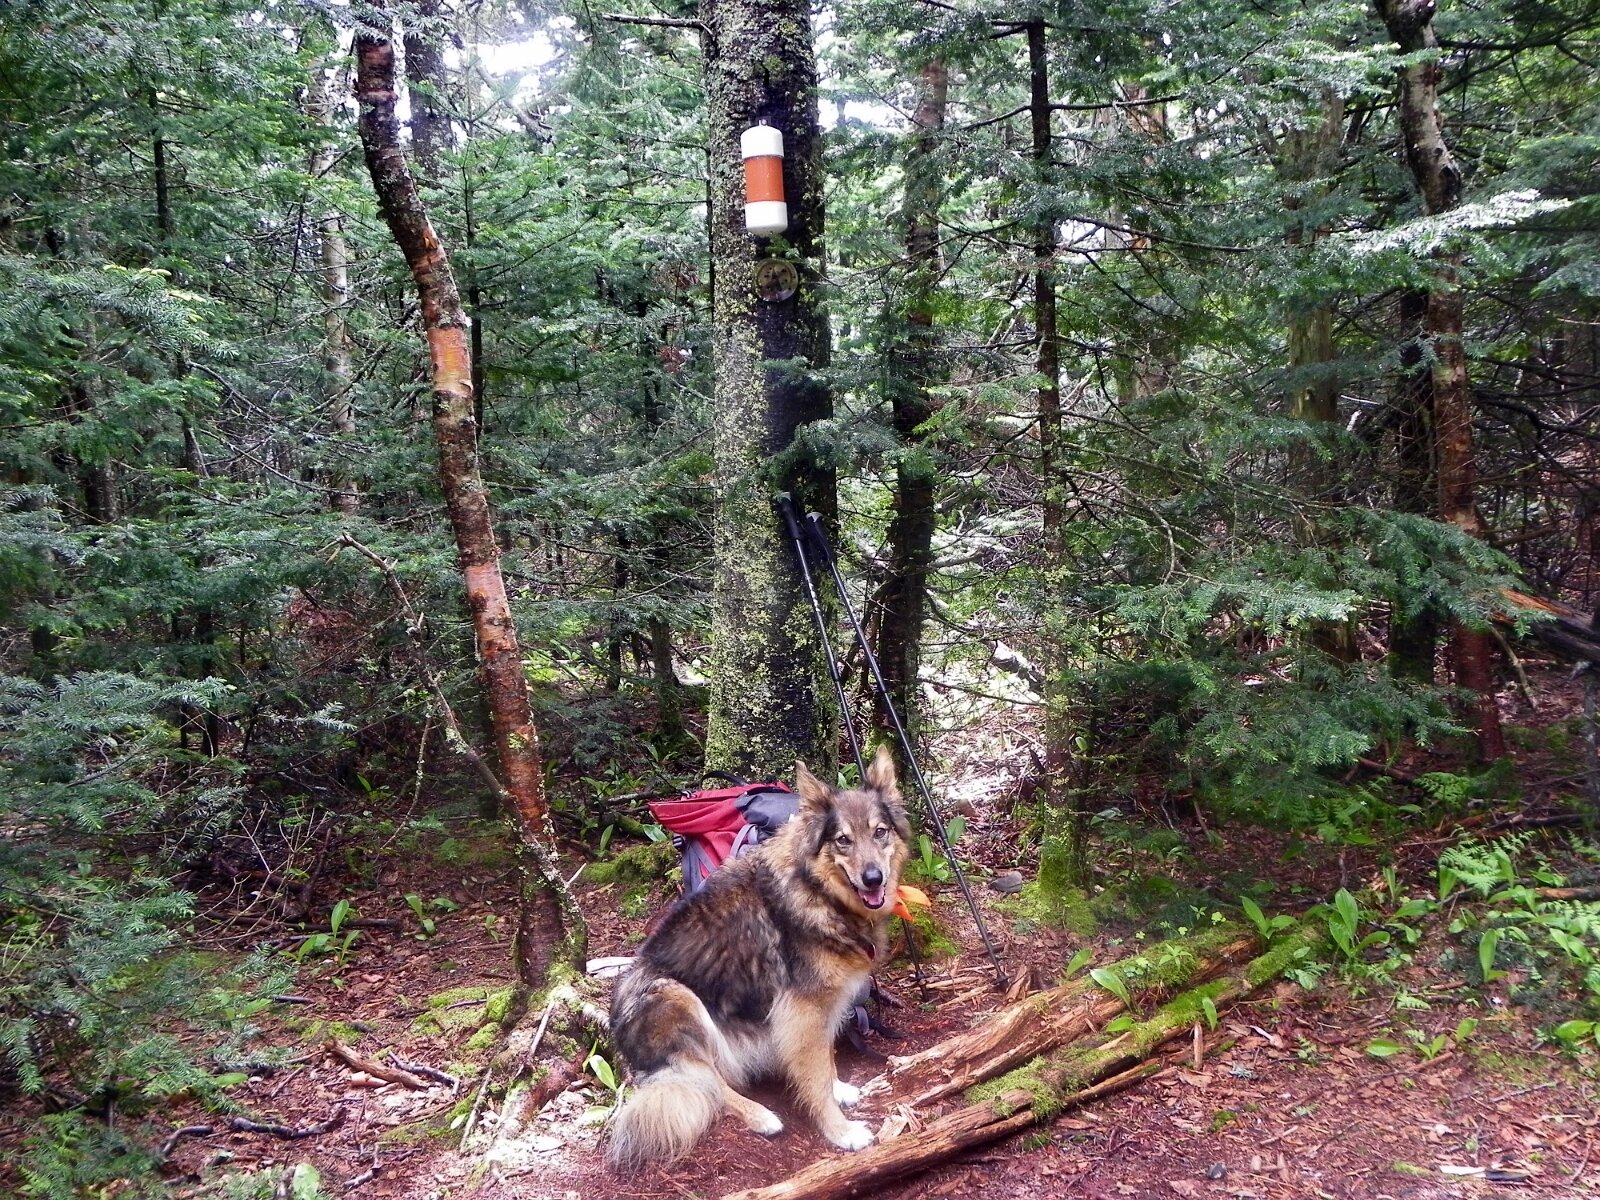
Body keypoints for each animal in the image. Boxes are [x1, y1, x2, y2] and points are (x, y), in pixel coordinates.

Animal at [606, 745, 912, 1168]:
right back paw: (761, 1115)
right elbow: (815, 1075)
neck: (816, 891)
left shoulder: (823, 1006)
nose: (873, 879)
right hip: (673, 994)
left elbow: (826, 1058)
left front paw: (838, 1089)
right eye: (842, 840)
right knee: (707, 1080)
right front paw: (840, 1131)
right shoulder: (802, 1009)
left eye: (880, 832)